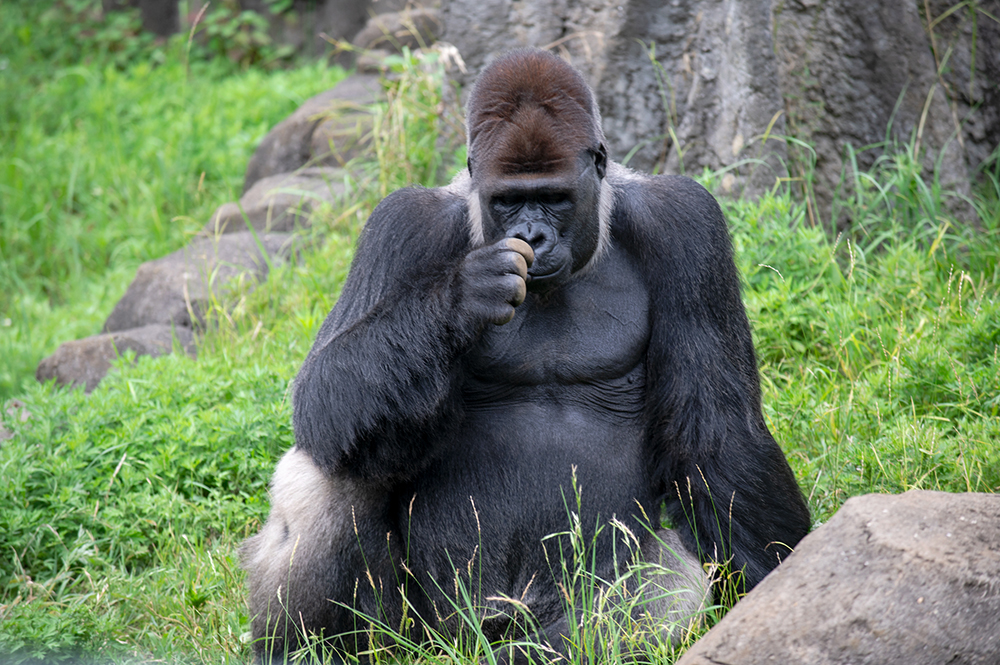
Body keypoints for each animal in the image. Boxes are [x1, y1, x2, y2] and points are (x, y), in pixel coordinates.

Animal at [244, 48, 812, 660]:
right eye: (509, 200)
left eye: (554, 197)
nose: (534, 237)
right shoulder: (400, 224)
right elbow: (325, 391)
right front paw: (462, 296)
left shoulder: (685, 220)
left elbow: (717, 431)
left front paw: (771, 584)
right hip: (426, 631)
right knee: (337, 452)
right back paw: (302, 649)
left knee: (656, 591)